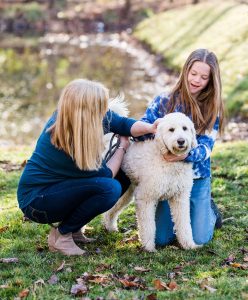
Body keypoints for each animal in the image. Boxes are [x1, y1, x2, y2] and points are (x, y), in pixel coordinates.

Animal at [102, 111, 202, 252]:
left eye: (185, 128)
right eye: (171, 130)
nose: (181, 141)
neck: (168, 160)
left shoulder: (180, 198)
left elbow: (184, 224)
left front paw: (189, 244)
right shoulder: (145, 198)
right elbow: (148, 226)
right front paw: (148, 247)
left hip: (127, 192)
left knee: (112, 210)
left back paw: (110, 227)